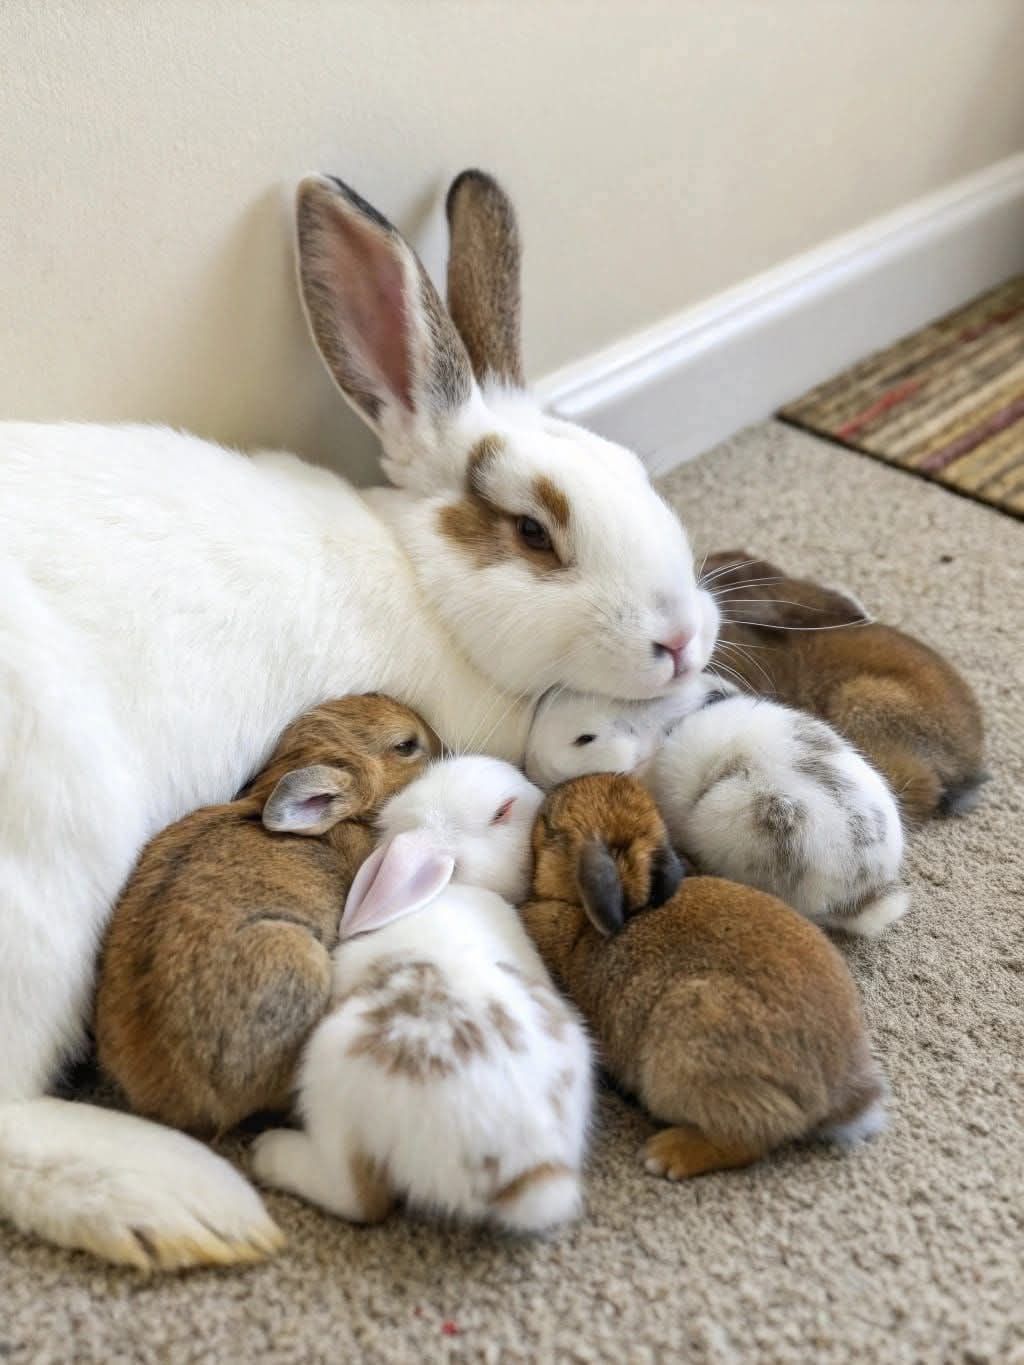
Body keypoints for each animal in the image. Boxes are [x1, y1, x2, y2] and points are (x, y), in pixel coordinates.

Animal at [251, 756, 592, 1235]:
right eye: (503, 812)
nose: (537, 790)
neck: (448, 889)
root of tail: (524, 1171)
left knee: (360, 1198)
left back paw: (267, 1153)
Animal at [521, 775, 888, 1181]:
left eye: (550, 827)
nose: (551, 791)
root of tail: (840, 1101)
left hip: (688, 1054)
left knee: (752, 1138)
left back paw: (667, 1154)